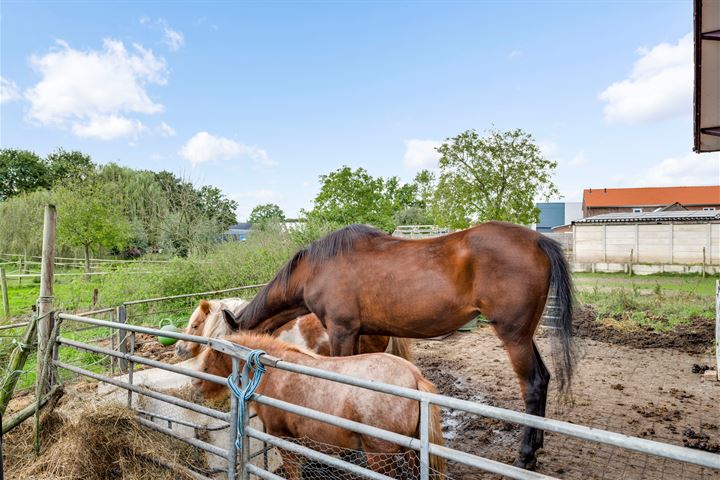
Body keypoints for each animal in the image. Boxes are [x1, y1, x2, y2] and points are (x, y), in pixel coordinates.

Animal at [194, 332, 448, 478]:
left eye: (210, 356)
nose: (196, 384)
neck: (274, 372)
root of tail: (414, 376)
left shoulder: (282, 438)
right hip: (412, 451)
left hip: (380, 455)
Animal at [224, 223, 572, 470]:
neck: (315, 268)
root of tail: (538, 241)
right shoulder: (364, 334)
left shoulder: (342, 331)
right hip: (524, 335)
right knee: (543, 379)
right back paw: (537, 447)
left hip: (514, 336)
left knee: (532, 385)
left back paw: (525, 456)